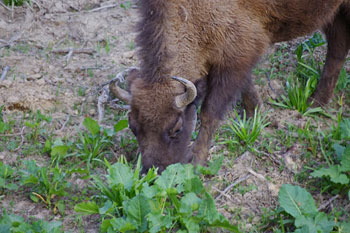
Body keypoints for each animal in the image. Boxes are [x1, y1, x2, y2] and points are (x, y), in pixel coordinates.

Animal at [111, 0, 350, 171]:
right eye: (132, 126)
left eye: (176, 128)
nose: (153, 171)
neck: (189, 12)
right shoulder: (231, 59)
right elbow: (246, 86)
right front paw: (256, 114)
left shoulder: (234, 59)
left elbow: (210, 113)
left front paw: (196, 162)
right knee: (337, 48)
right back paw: (316, 103)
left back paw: (315, 103)